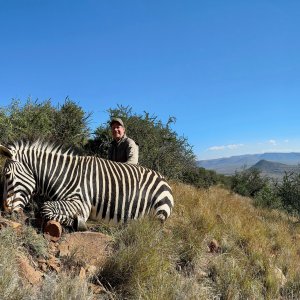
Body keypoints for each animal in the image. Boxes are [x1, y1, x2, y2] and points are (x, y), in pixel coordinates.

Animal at [0, 139, 173, 229]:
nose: (5, 210)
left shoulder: (81, 203)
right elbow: (44, 208)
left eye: (7, 176)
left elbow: (45, 208)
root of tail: (164, 179)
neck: (64, 175)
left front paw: (79, 223)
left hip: (158, 213)